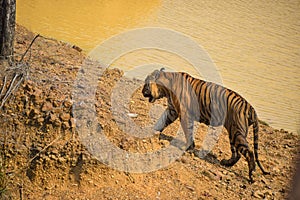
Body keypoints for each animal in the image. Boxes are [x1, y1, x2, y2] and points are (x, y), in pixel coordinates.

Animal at [142, 69, 270, 183]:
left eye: (146, 84)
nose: (142, 92)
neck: (166, 88)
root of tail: (250, 107)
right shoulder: (172, 111)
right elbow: (161, 121)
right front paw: (152, 132)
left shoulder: (184, 114)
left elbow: (188, 131)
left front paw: (189, 146)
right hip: (233, 132)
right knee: (237, 153)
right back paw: (226, 163)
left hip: (236, 131)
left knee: (248, 152)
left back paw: (251, 174)